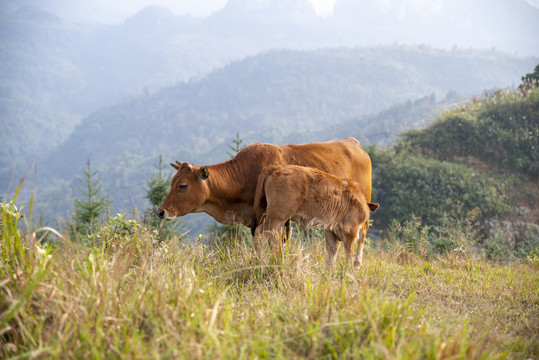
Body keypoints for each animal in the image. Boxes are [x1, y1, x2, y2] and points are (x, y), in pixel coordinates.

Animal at [252, 165, 380, 268]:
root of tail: (276, 168)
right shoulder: (350, 232)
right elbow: (349, 253)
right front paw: (351, 270)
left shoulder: (331, 231)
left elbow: (332, 253)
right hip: (276, 217)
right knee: (260, 234)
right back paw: (261, 261)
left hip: (277, 220)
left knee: (273, 239)